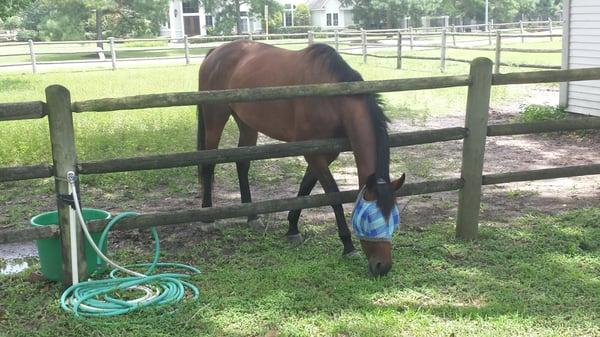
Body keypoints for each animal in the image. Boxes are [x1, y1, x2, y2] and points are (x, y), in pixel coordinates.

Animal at [199, 40, 406, 276]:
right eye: (370, 219)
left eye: (393, 219)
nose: (383, 266)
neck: (332, 97)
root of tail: (215, 51)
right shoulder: (313, 153)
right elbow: (332, 194)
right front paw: (347, 245)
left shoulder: (326, 154)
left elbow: (305, 187)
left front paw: (292, 228)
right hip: (215, 120)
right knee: (208, 165)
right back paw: (207, 218)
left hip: (247, 125)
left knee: (242, 164)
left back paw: (252, 217)